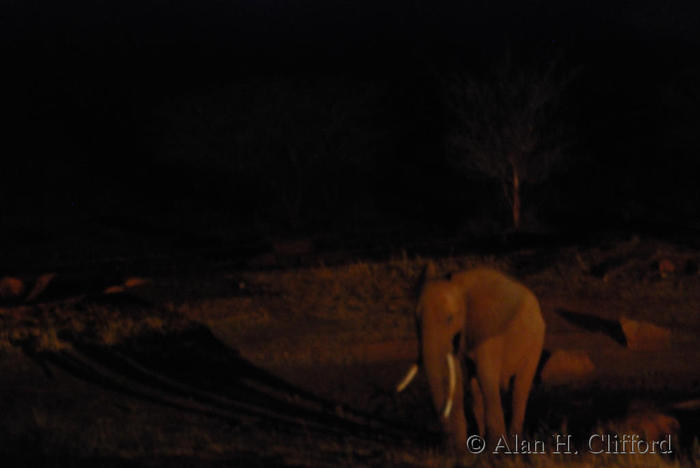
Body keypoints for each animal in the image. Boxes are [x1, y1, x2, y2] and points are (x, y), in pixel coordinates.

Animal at [396, 262, 544, 452]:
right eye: (416, 319)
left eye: (450, 318)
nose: (446, 442)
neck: (460, 288)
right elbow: (458, 378)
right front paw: (460, 451)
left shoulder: (488, 331)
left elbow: (486, 376)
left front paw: (496, 450)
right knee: (476, 390)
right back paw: (480, 440)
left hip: (535, 340)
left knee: (519, 388)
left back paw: (514, 443)